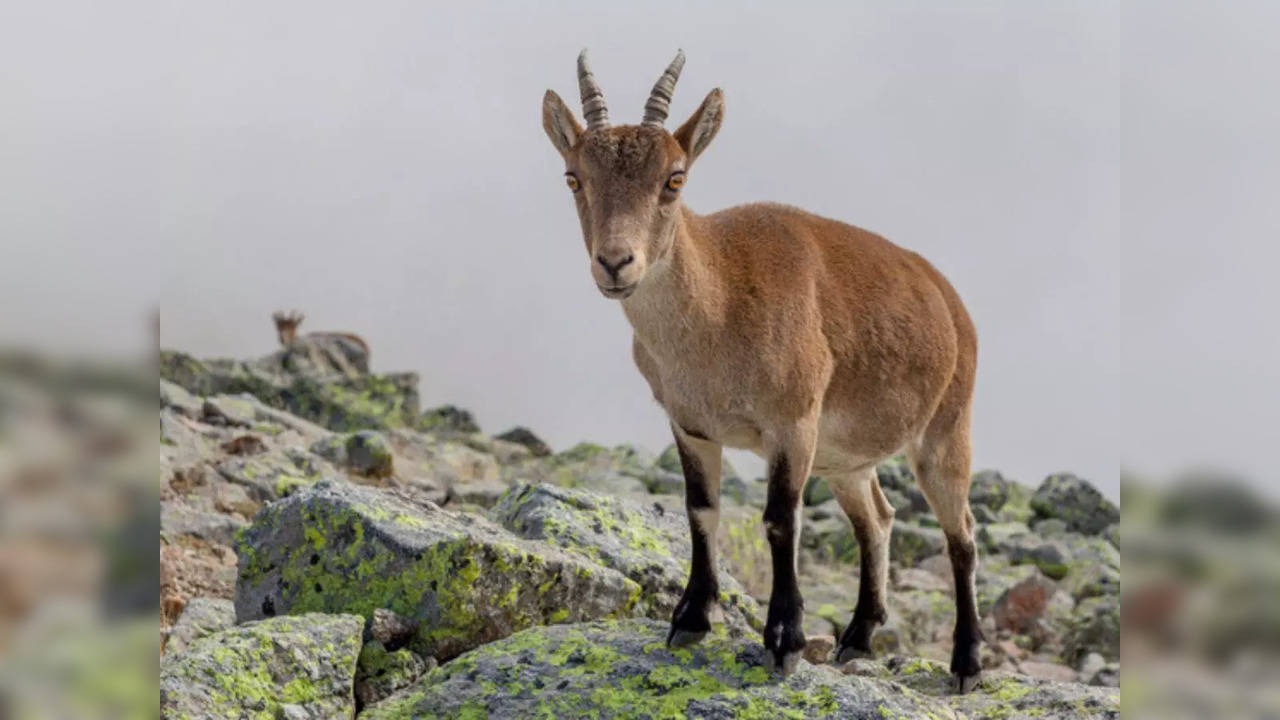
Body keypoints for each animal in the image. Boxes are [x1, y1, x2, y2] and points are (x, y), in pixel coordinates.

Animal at [540, 49, 977, 681]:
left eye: (674, 178)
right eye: (574, 177)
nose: (616, 263)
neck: (718, 311)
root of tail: (949, 298)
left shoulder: (791, 423)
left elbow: (779, 520)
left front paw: (784, 640)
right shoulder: (691, 426)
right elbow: (701, 510)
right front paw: (691, 620)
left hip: (946, 430)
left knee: (961, 534)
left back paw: (967, 660)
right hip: (846, 461)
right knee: (877, 518)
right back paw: (857, 636)